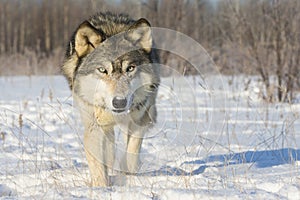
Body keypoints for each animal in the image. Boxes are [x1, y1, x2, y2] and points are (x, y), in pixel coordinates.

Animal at [61, 12, 159, 187]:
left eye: (130, 68)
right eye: (102, 70)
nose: (119, 102)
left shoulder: (139, 120)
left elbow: (131, 153)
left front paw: (129, 177)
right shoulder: (95, 126)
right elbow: (98, 164)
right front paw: (101, 187)